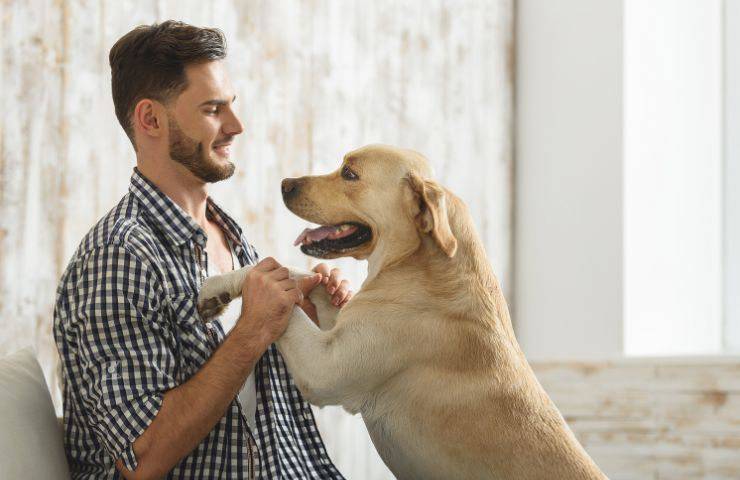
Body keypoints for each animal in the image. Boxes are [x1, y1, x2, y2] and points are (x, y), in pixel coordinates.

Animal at [198, 144, 608, 478]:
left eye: (350, 173)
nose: (285, 183)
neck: (417, 264)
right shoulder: (345, 326)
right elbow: (298, 274)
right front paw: (217, 288)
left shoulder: (324, 366)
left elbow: (274, 278)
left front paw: (231, 286)